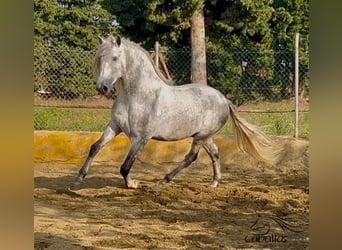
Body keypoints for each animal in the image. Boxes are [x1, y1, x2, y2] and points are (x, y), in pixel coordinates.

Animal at [73, 34, 280, 188]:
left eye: (115, 58)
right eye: (100, 58)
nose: (102, 87)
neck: (136, 95)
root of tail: (224, 100)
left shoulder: (141, 137)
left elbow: (126, 166)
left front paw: (132, 184)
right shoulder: (115, 126)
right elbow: (95, 147)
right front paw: (79, 178)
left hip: (201, 136)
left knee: (191, 157)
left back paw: (163, 181)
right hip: (204, 136)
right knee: (214, 152)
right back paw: (214, 183)